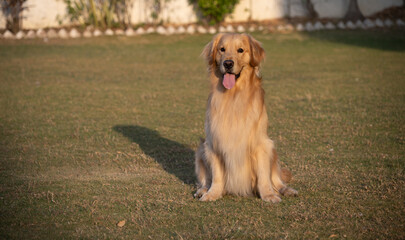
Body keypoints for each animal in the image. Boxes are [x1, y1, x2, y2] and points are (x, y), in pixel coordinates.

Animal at [194, 33, 296, 202]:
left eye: (240, 50)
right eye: (222, 49)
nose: (228, 63)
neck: (233, 96)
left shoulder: (261, 143)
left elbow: (263, 176)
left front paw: (268, 195)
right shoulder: (213, 144)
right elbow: (216, 175)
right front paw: (212, 193)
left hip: (273, 149)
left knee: (276, 180)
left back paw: (285, 190)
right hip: (201, 150)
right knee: (205, 179)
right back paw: (203, 190)